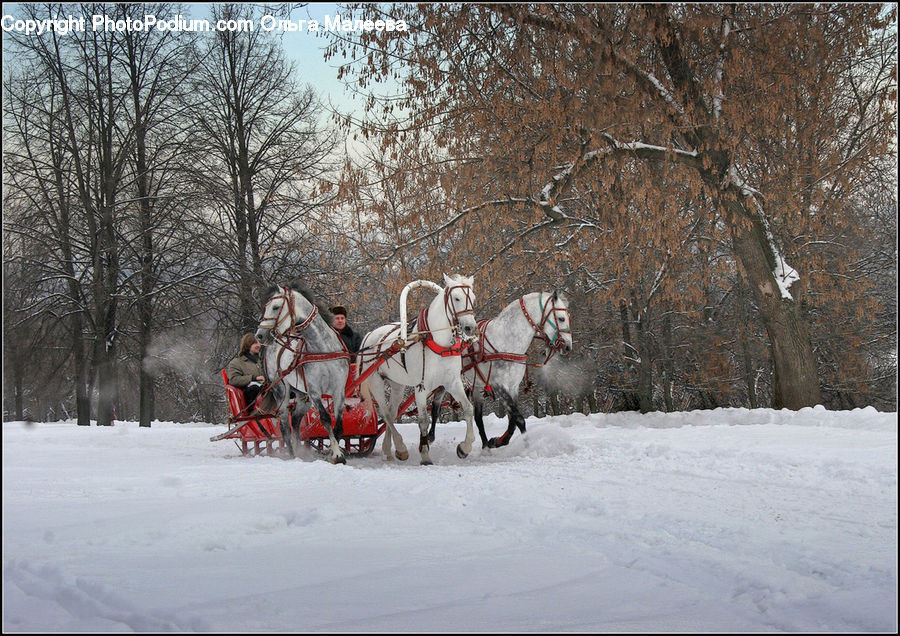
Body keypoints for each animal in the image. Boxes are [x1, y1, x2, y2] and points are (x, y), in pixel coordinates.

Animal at [256, 280, 352, 464]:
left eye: (276, 307)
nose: (260, 335)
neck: (322, 349)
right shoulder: (315, 392)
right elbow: (325, 418)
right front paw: (336, 454)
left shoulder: (338, 390)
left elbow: (339, 424)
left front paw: (335, 454)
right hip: (281, 391)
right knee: (285, 425)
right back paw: (292, 455)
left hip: (302, 396)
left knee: (295, 421)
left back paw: (301, 451)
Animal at [356, 272, 478, 462]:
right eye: (457, 298)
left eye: (473, 298)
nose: (470, 327)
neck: (438, 342)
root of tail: (369, 335)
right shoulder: (421, 386)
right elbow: (423, 420)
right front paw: (425, 455)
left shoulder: (452, 383)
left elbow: (468, 409)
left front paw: (464, 447)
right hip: (376, 382)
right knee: (386, 414)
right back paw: (400, 447)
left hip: (397, 385)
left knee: (392, 412)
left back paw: (389, 449)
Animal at [428, 292, 568, 448]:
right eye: (561, 318)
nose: (568, 346)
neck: (506, 341)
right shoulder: (498, 385)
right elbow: (518, 419)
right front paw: (525, 443)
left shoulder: (513, 387)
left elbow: (512, 419)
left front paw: (499, 441)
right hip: (445, 381)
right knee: (435, 407)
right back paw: (430, 436)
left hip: (476, 385)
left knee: (477, 417)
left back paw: (484, 445)